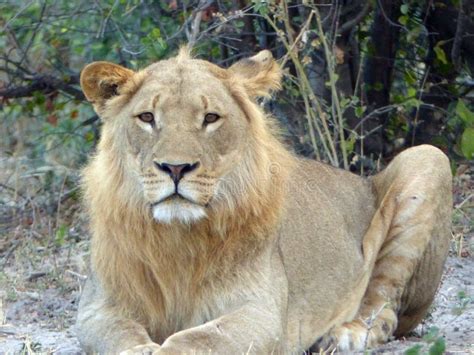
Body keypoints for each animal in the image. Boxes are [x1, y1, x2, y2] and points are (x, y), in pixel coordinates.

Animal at [77, 48, 452, 354]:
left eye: (210, 118)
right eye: (147, 117)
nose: (176, 167)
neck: (177, 238)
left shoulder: (262, 313)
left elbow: (196, 339)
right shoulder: (99, 308)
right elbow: (121, 334)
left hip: (428, 157)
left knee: (386, 306)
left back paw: (346, 334)